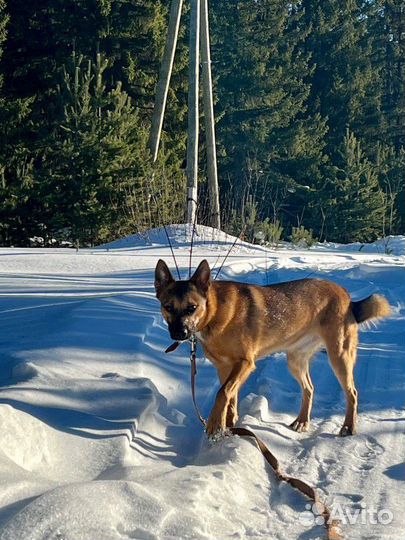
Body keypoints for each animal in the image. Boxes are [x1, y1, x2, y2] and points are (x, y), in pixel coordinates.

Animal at [154, 258, 388, 438]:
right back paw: (302, 421)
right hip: (295, 361)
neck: (215, 313)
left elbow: (223, 393)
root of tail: (348, 297)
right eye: (168, 307)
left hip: (339, 356)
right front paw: (229, 423)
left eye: (192, 308)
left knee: (352, 393)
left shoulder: (245, 363)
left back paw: (348, 426)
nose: (179, 334)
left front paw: (214, 424)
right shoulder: (225, 368)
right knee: (309, 388)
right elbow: (230, 396)